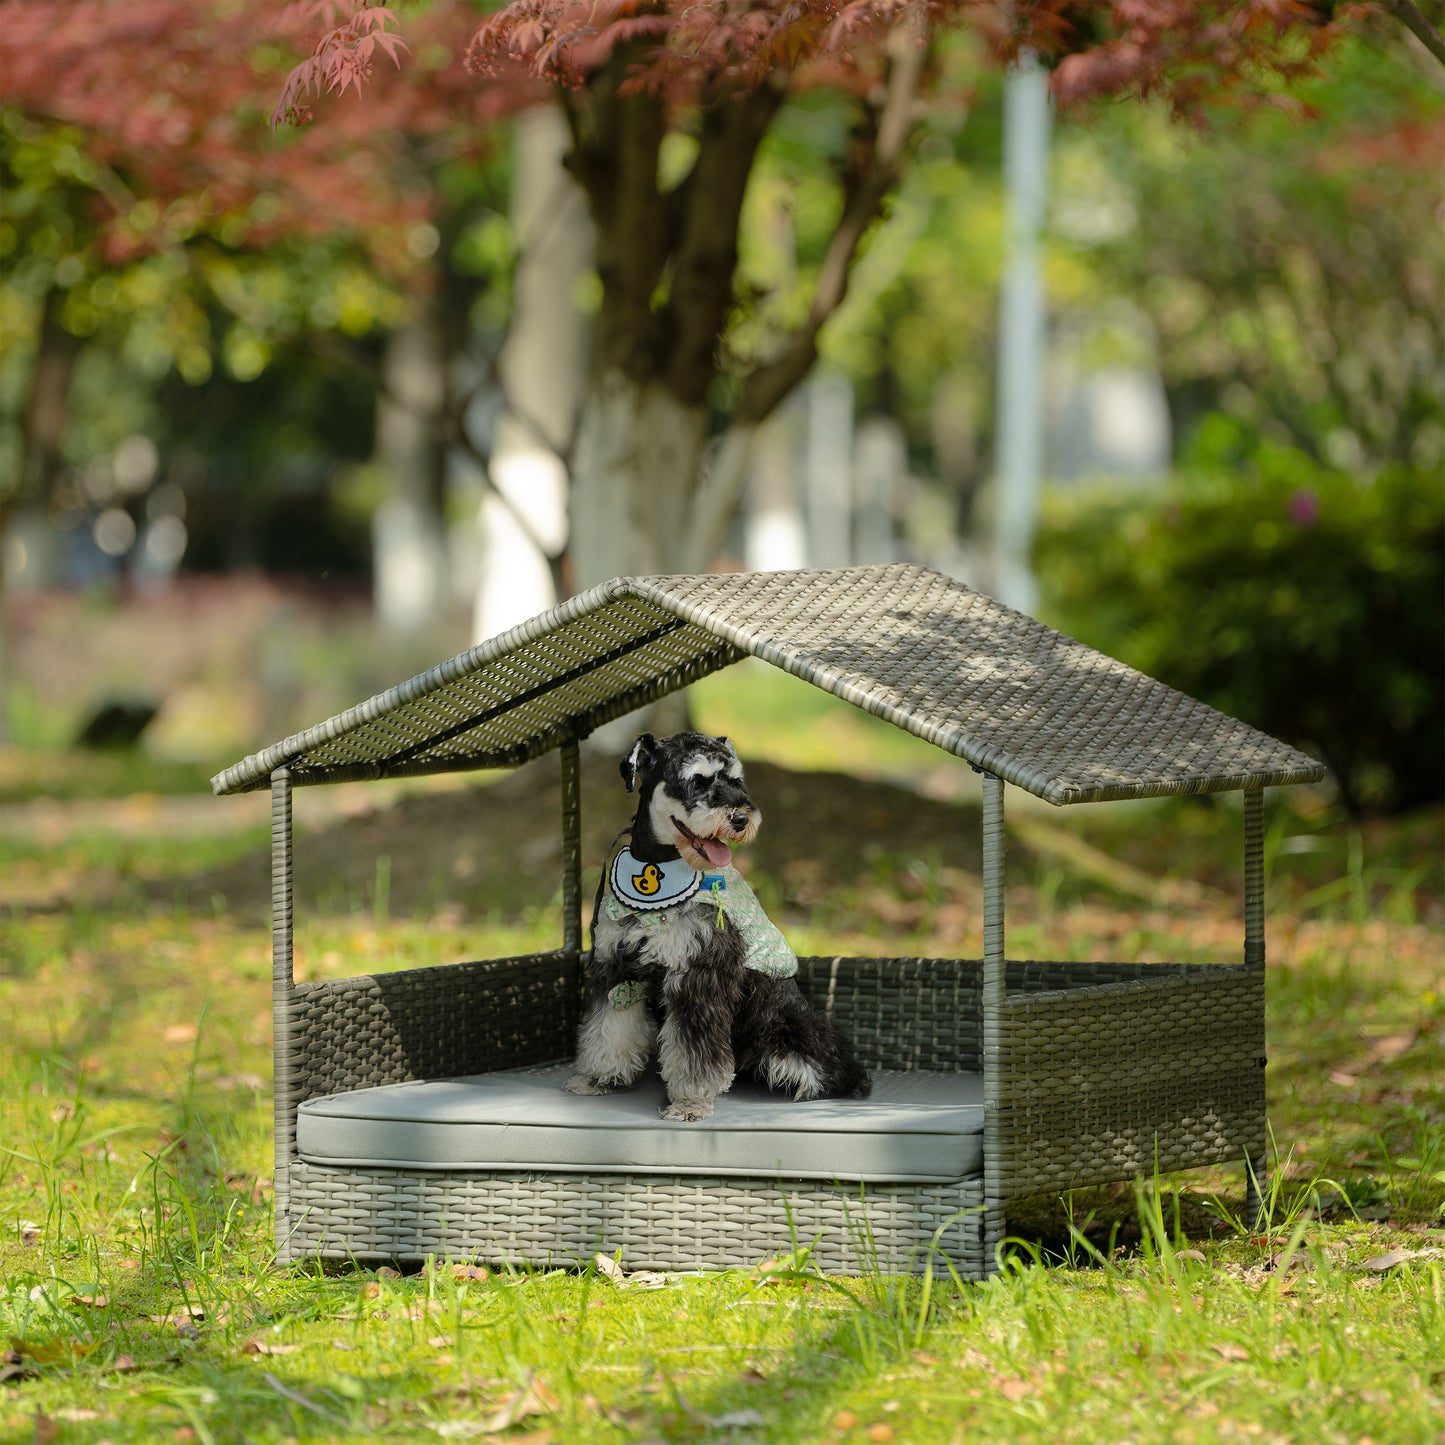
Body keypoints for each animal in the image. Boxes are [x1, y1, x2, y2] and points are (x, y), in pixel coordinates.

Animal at [560, 728, 867, 1121]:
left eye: (736, 781)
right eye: (697, 781)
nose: (740, 819)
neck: (662, 864)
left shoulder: (699, 975)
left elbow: (695, 1052)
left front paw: (690, 1102)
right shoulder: (616, 967)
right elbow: (609, 1029)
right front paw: (600, 1078)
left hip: (785, 1033)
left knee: (823, 1070)